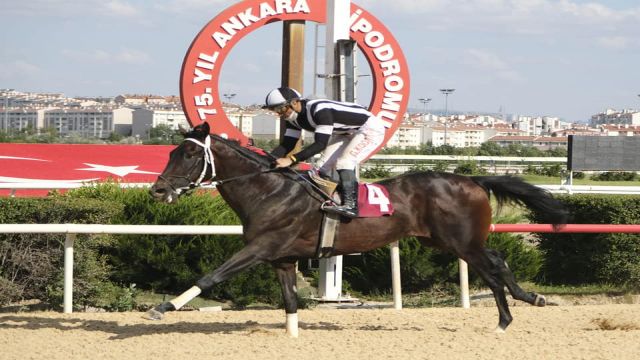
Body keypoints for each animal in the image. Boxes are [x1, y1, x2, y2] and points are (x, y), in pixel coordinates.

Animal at [148, 123, 568, 338]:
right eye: (170, 152)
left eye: (189, 154)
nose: (157, 190)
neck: (268, 190)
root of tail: (474, 180)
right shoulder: (283, 258)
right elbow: (290, 302)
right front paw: (292, 335)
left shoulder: (261, 248)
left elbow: (211, 276)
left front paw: (162, 307)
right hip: (450, 241)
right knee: (497, 261)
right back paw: (524, 302)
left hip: (461, 242)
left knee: (493, 269)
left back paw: (508, 317)